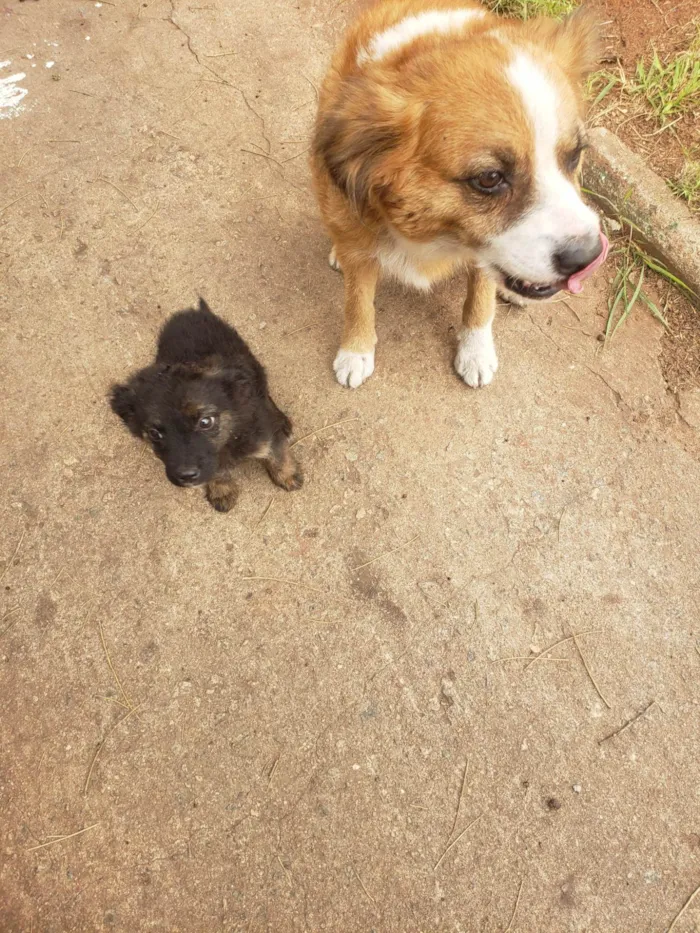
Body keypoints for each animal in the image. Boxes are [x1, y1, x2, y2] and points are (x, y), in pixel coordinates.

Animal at [110, 298, 302, 510]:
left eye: (205, 422)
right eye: (154, 433)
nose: (186, 476)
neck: (231, 434)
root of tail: (192, 311)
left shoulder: (265, 435)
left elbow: (278, 456)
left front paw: (288, 476)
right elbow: (216, 471)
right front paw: (221, 490)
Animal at [312, 0, 608, 386]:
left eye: (575, 155)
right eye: (489, 178)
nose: (588, 256)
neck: (433, 236)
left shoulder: (482, 250)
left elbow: (480, 298)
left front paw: (476, 351)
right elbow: (358, 300)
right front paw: (356, 350)